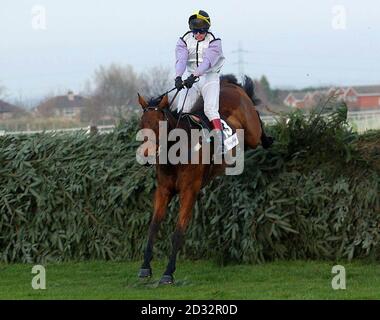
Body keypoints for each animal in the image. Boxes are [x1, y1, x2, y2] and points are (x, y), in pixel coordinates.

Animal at [137, 75, 270, 284]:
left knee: (258, 127)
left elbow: (178, 232)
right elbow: (153, 227)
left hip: (252, 133)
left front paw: (168, 272)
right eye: (142, 124)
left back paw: (268, 138)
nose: (146, 155)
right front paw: (145, 268)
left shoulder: (189, 191)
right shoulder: (164, 190)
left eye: (160, 125)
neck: (177, 152)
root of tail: (230, 83)